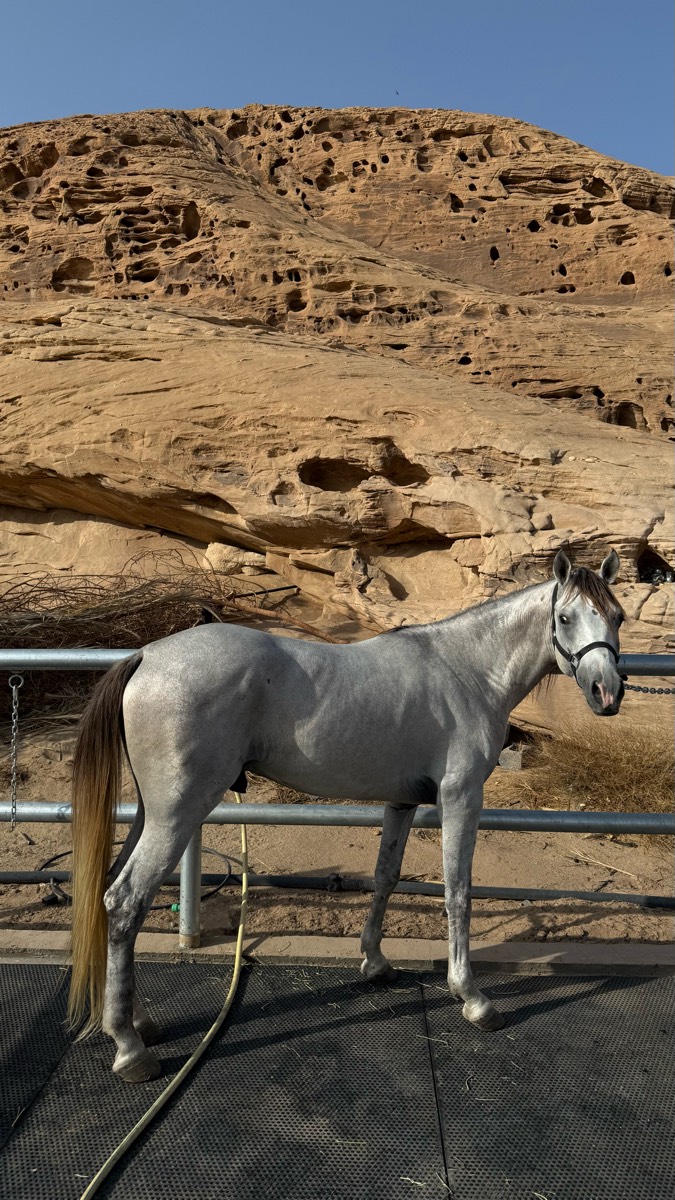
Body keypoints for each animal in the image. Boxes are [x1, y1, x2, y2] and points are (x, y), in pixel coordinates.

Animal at [68, 548, 625, 1082]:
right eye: (567, 617)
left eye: (616, 616)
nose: (608, 692)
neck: (468, 671)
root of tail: (145, 656)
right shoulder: (461, 798)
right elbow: (458, 892)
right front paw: (472, 998)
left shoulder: (402, 803)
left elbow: (386, 877)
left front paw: (375, 963)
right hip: (177, 814)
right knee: (125, 901)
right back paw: (129, 1048)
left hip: (153, 812)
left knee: (113, 893)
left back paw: (139, 1021)